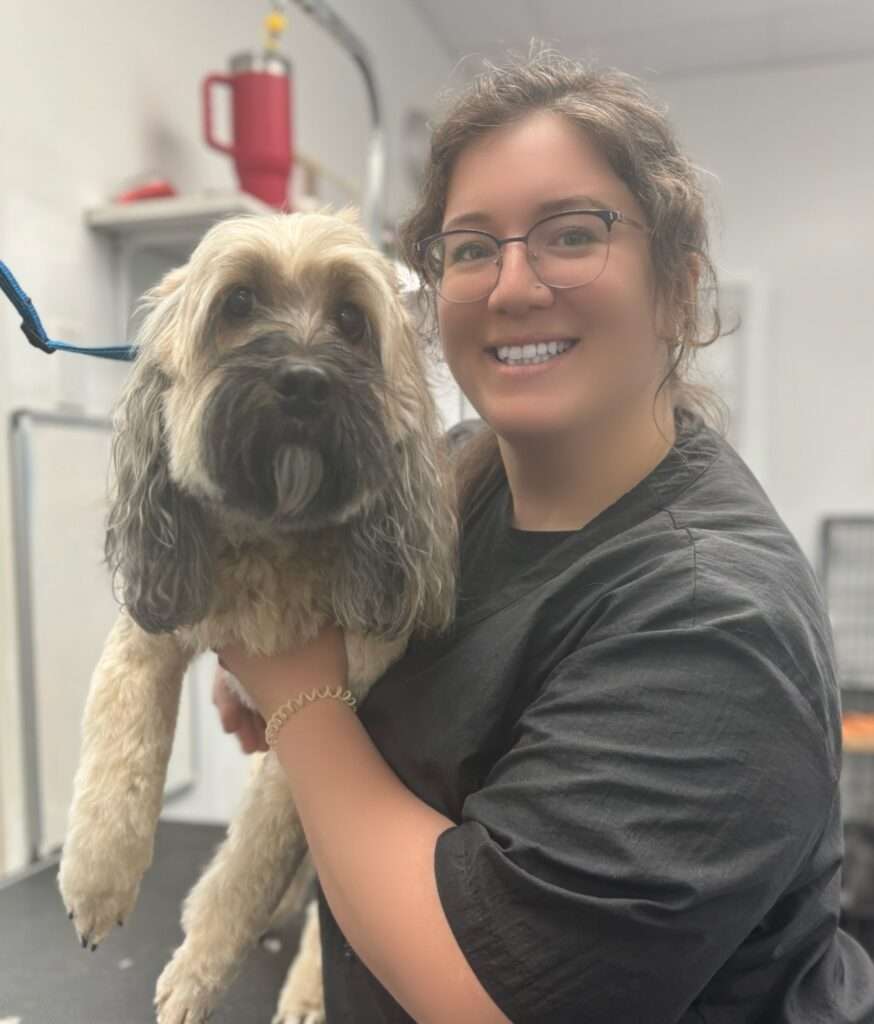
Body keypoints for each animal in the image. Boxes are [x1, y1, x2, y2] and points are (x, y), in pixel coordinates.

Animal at [57, 209, 458, 1024]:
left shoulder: (314, 725)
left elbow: (250, 864)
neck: (272, 537)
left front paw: (198, 969)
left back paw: (306, 987)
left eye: (351, 320)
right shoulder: (150, 632)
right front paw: (97, 878)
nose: (305, 381)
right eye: (237, 304)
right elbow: (118, 754)